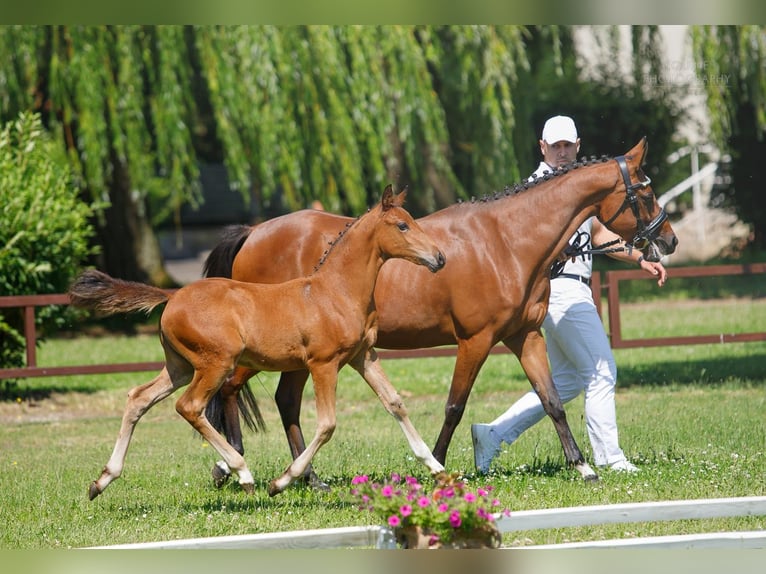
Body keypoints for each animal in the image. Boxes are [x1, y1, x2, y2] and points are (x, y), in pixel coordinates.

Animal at [70, 188, 450, 500]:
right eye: (402, 226)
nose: (440, 258)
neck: (335, 292)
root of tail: (173, 295)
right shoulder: (323, 364)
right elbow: (327, 425)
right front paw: (282, 482)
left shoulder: (363, 356)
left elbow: (395, 403)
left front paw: (438, 469)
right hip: (216, 364)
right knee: (190, 406)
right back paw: (243, 472)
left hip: (180, 367)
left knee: (139, 398)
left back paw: (101, 481)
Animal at [204, 136, 680, 490]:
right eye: (646, 191)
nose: (669, 241)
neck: (507, 241)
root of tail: (253, 232)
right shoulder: (475, 341)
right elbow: (454, 405)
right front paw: (435, 465)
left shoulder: (525, 336)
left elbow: (551, 401)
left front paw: (583, 467)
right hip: (267, 353)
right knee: (230, 390)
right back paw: (235, 467)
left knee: (283, 400)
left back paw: (305, 477)